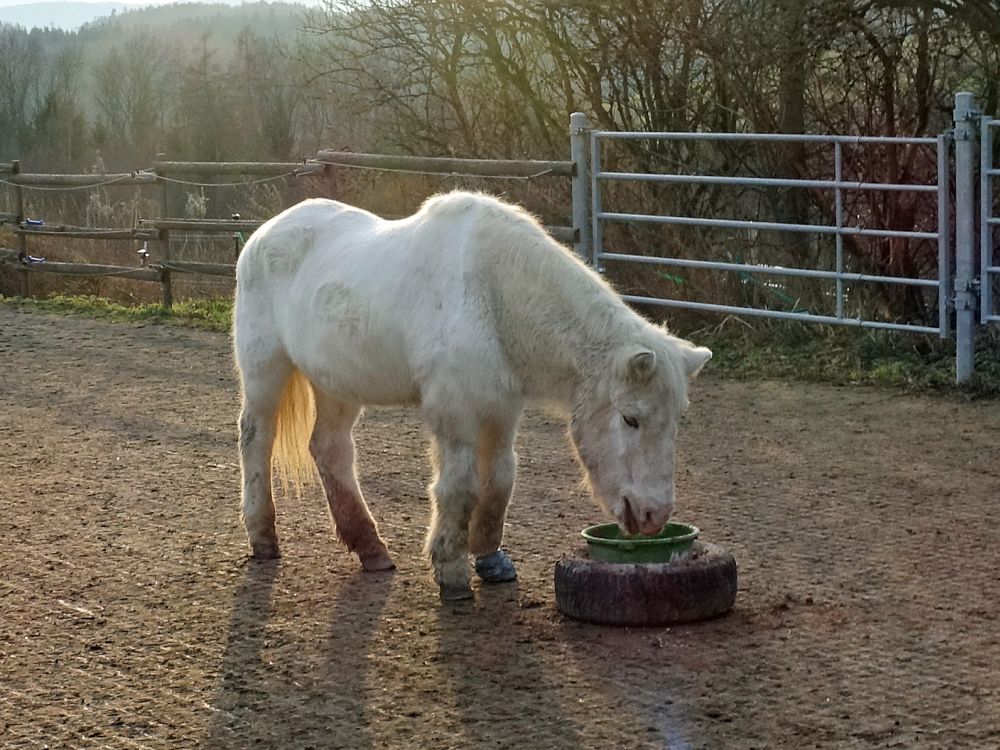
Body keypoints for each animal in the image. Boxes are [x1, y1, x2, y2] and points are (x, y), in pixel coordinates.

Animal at [234, 191, 712, 604]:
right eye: (630, 418)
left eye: (675, 422)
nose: (653, 516)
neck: (494, 294)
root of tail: (264, 233)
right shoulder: (455, 412)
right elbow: (459, 488)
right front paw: (451, 569)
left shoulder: (502, 411)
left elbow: (498, 480)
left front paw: (490, 559)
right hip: (265, 370)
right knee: (256, 439)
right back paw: (263, 537)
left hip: (337, 385)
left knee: (330, 451)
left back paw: (370, 548)